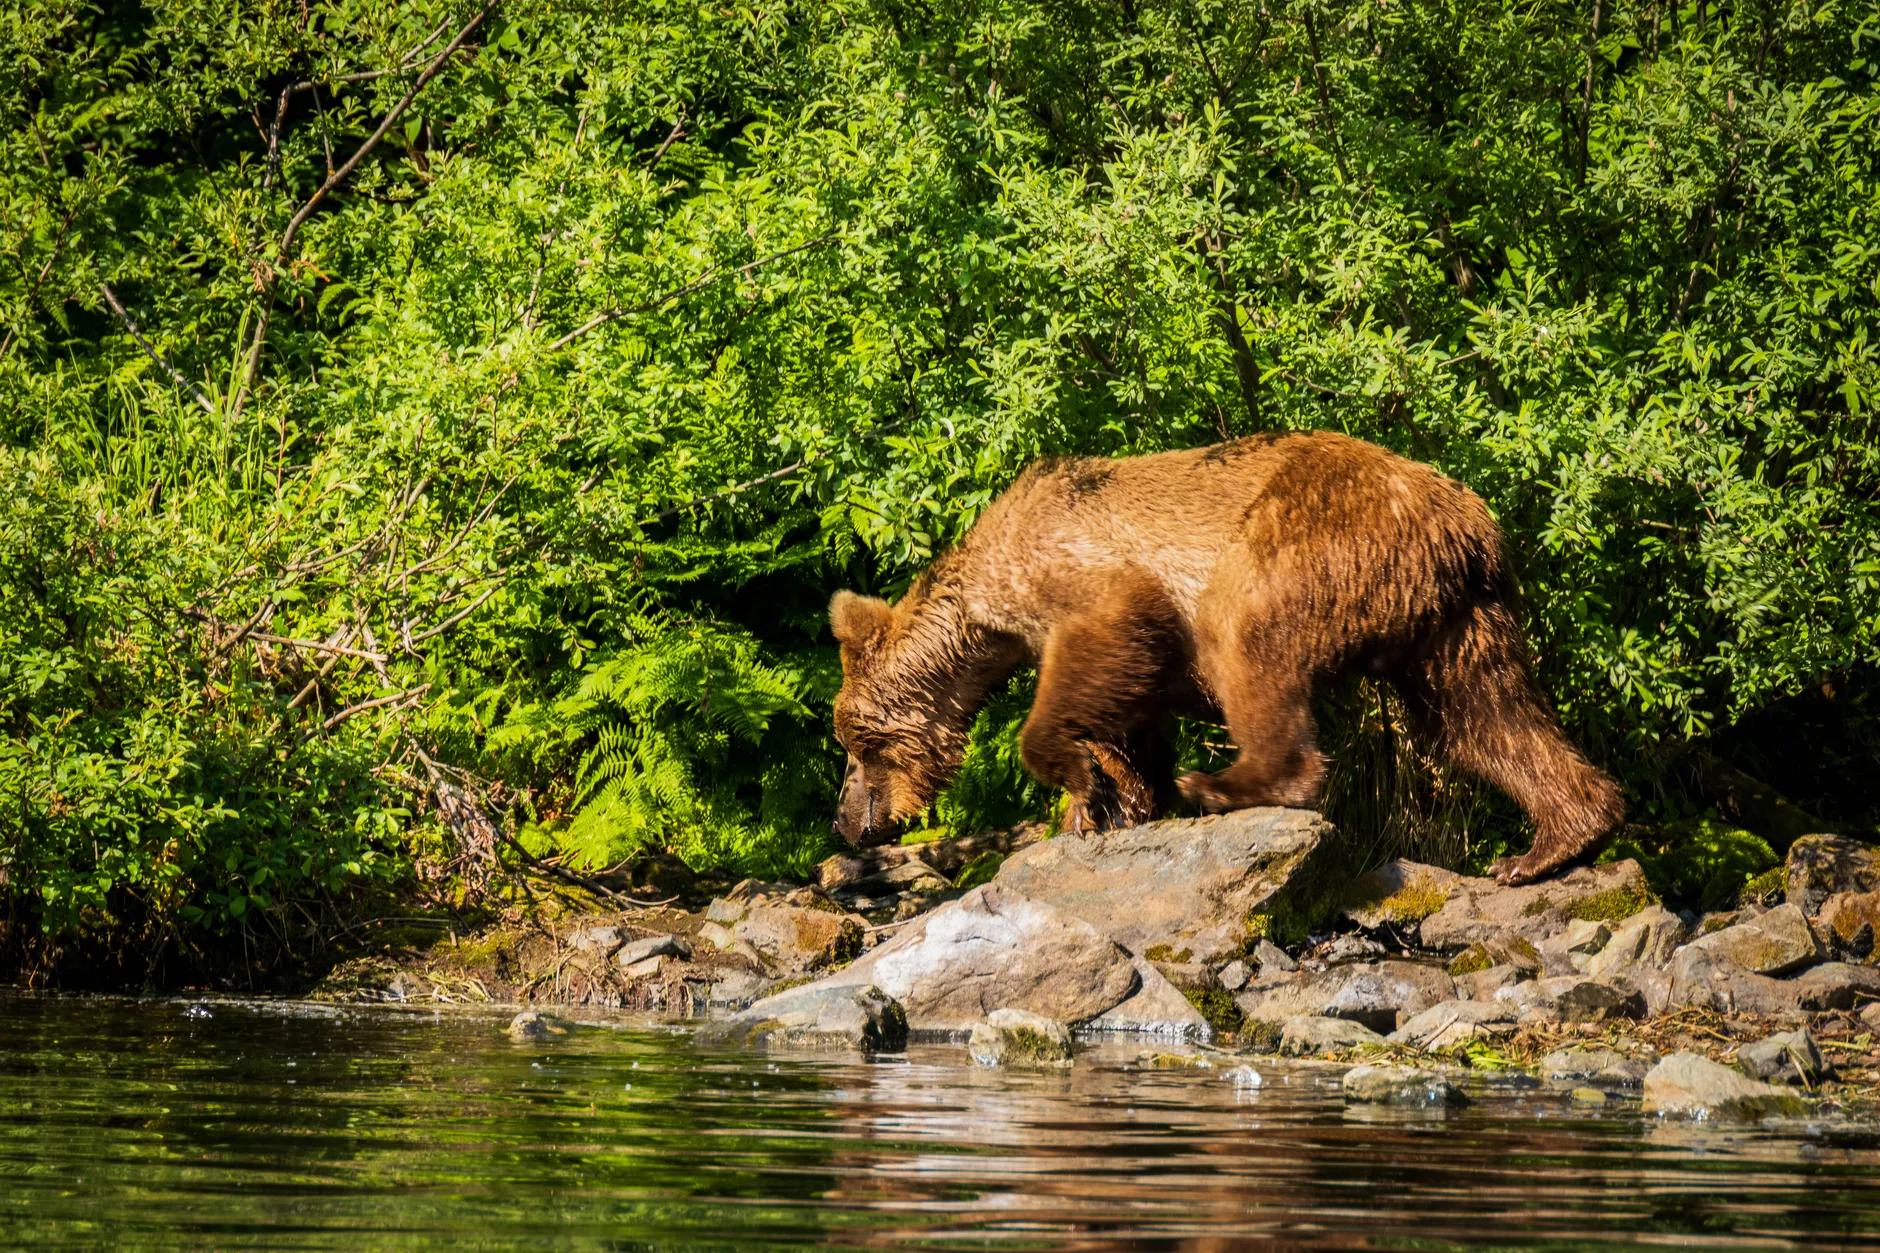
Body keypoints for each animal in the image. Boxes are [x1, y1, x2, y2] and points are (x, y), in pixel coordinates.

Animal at [827, 431, 1623, 885]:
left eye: (854, 744)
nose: (847, 822)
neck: (982, 615)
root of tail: (1462, 519)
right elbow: (1136, 709)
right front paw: (1111, 798)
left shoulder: (1079, 571)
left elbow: (1105, 639)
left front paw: (1085, 780)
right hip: (1455, 619)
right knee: (1486, 717)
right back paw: (1552, 842)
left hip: (1308, 535)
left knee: (1244, 640)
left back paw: (1224, 783)